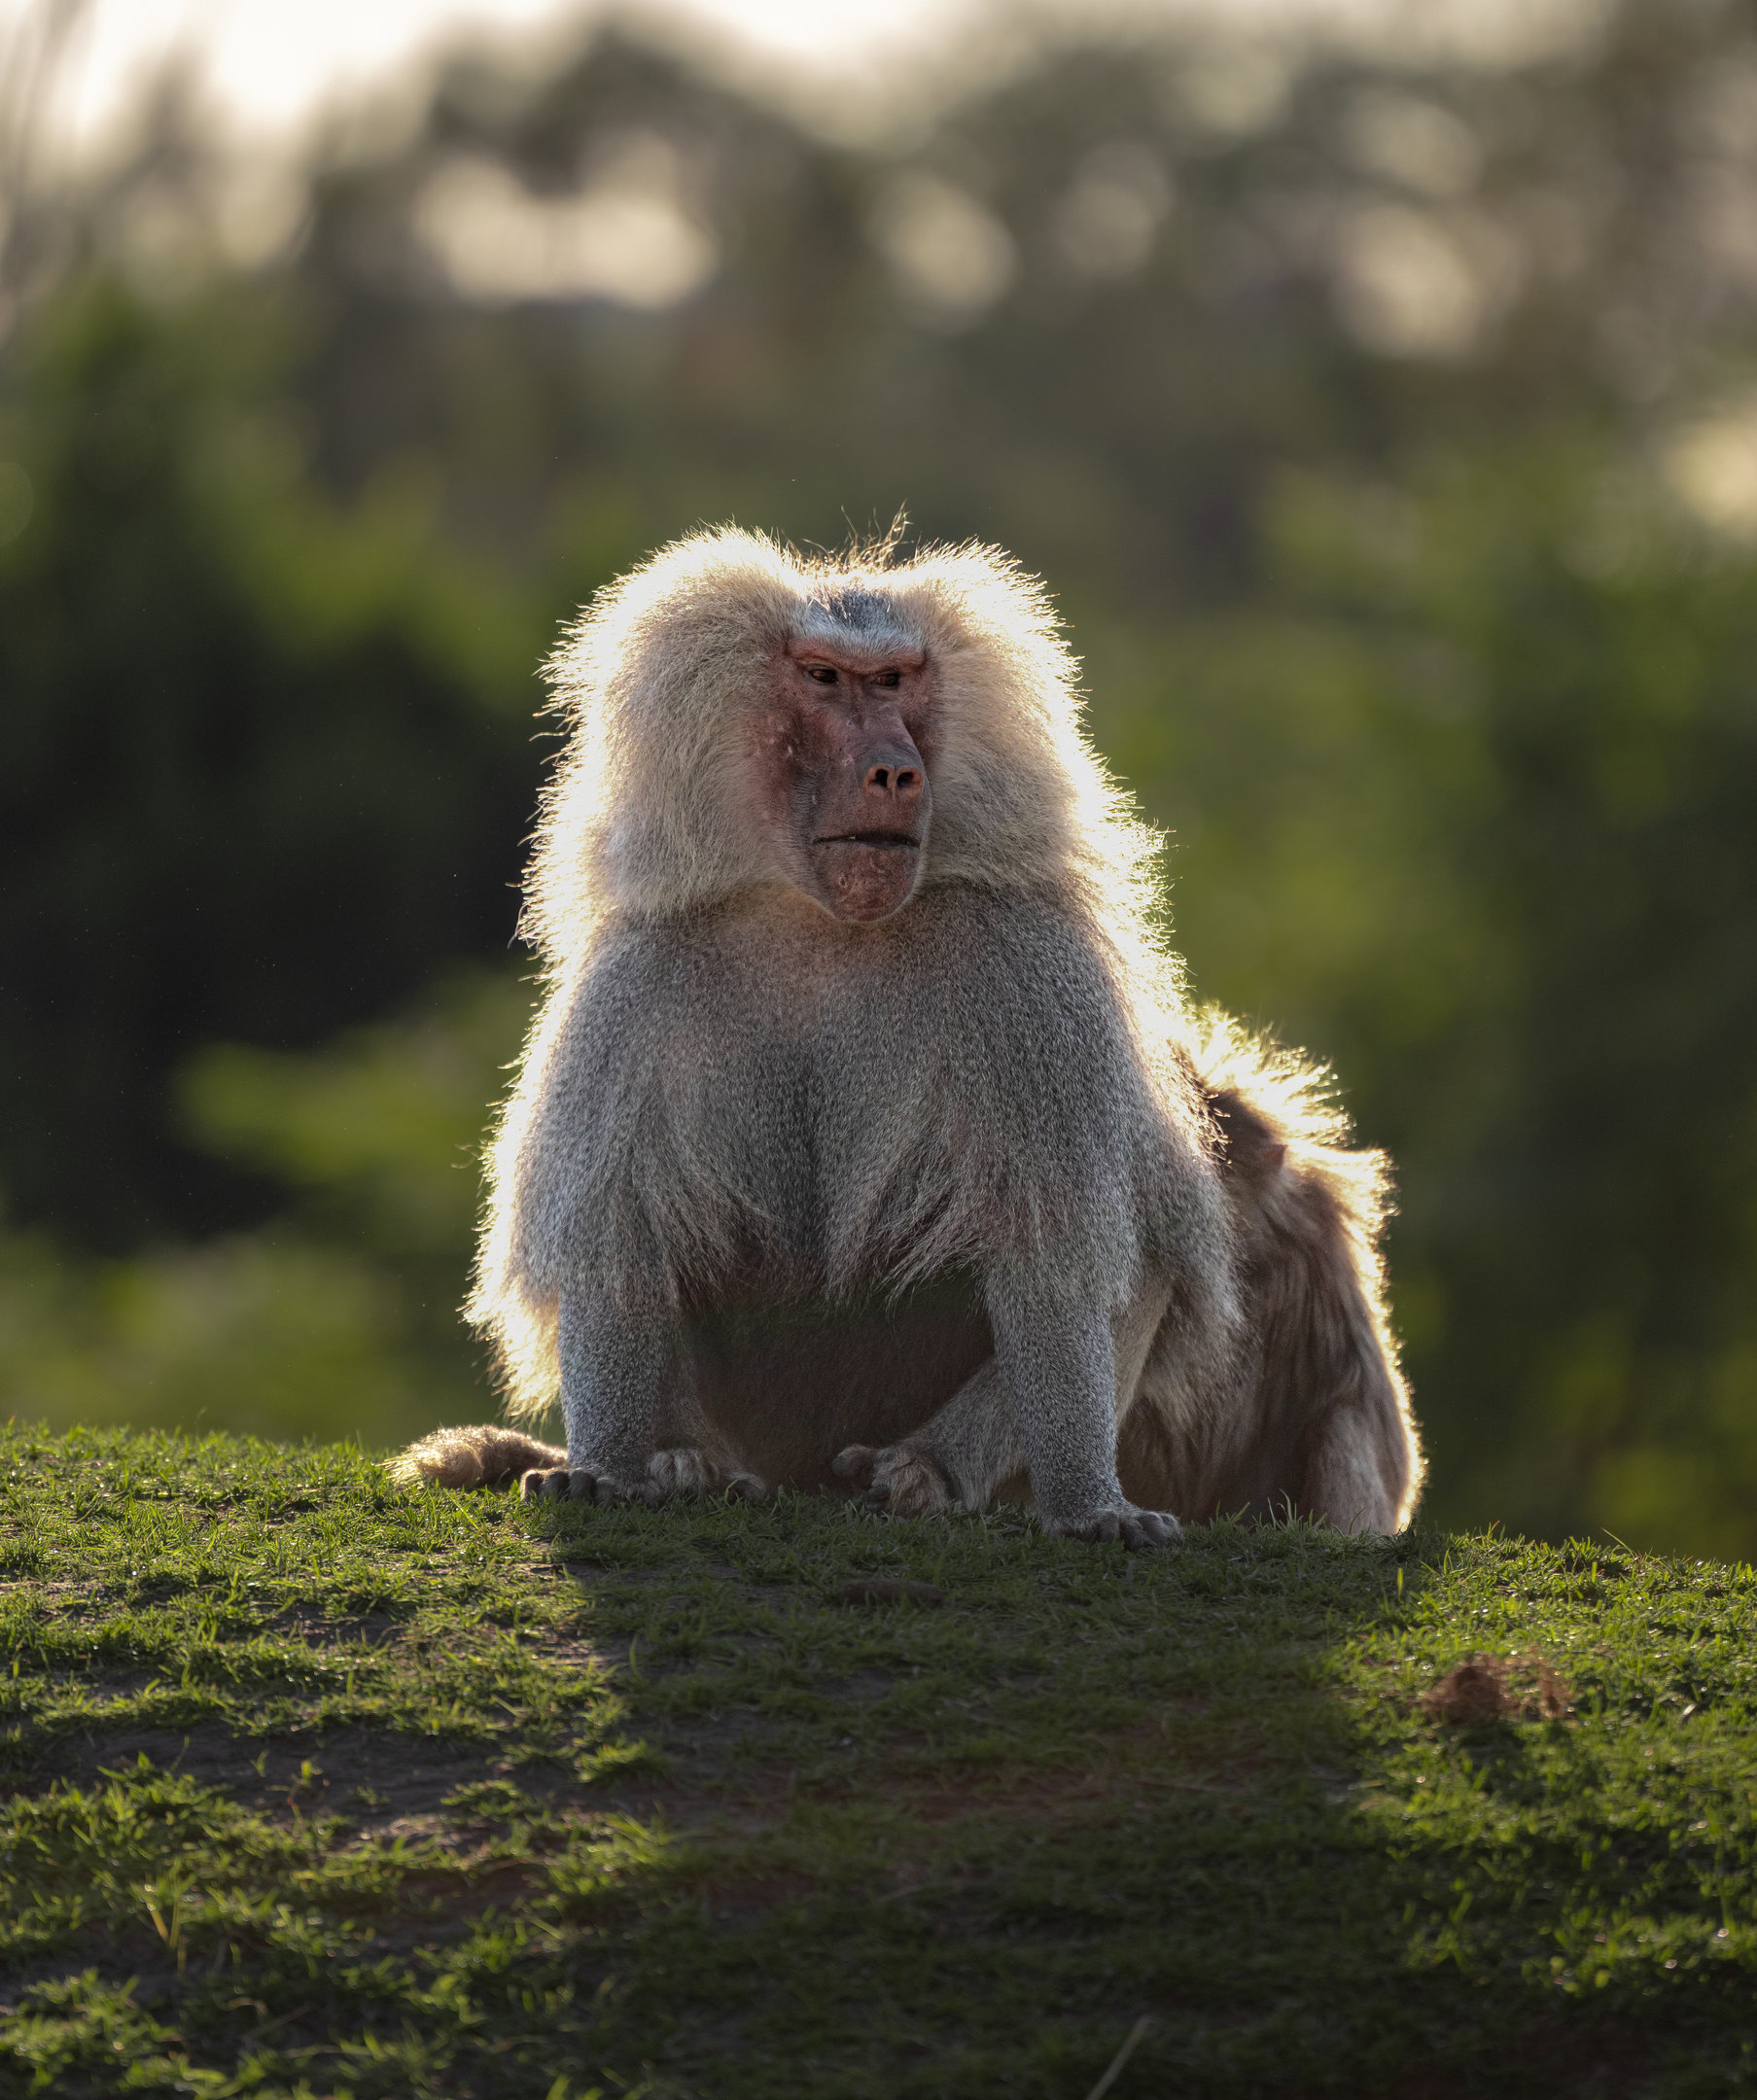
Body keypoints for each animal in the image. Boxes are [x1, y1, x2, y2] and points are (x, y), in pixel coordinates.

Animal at [392, 528, 1422, 1540]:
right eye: (822, 679)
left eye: (892, 681)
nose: (893, 770)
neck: (822, 925)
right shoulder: (642, 981)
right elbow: (618, 1243)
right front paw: (605, 1469)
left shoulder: (1026, 976)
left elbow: (1070, 1257)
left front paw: (1086, 1505)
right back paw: (689, 1465)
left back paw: (919, 1472)